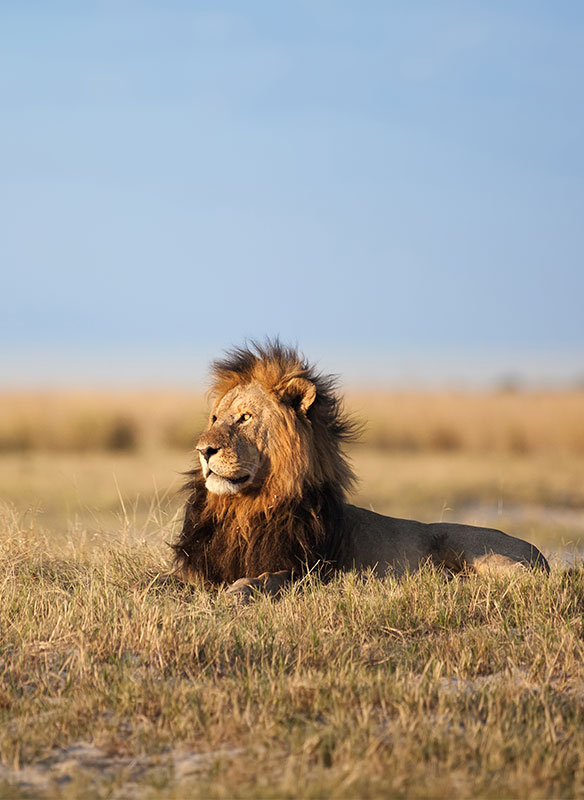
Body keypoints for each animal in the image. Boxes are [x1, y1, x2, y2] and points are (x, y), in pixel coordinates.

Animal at [171, 340, 548, 600]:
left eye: (245, 417)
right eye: (215, 419)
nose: (203, 450)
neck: (245, 508)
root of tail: (539, 553)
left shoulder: (309, 571)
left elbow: (267, 578)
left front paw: (239, 590)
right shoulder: (198, 568)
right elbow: (163, 578)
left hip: (480, 551)